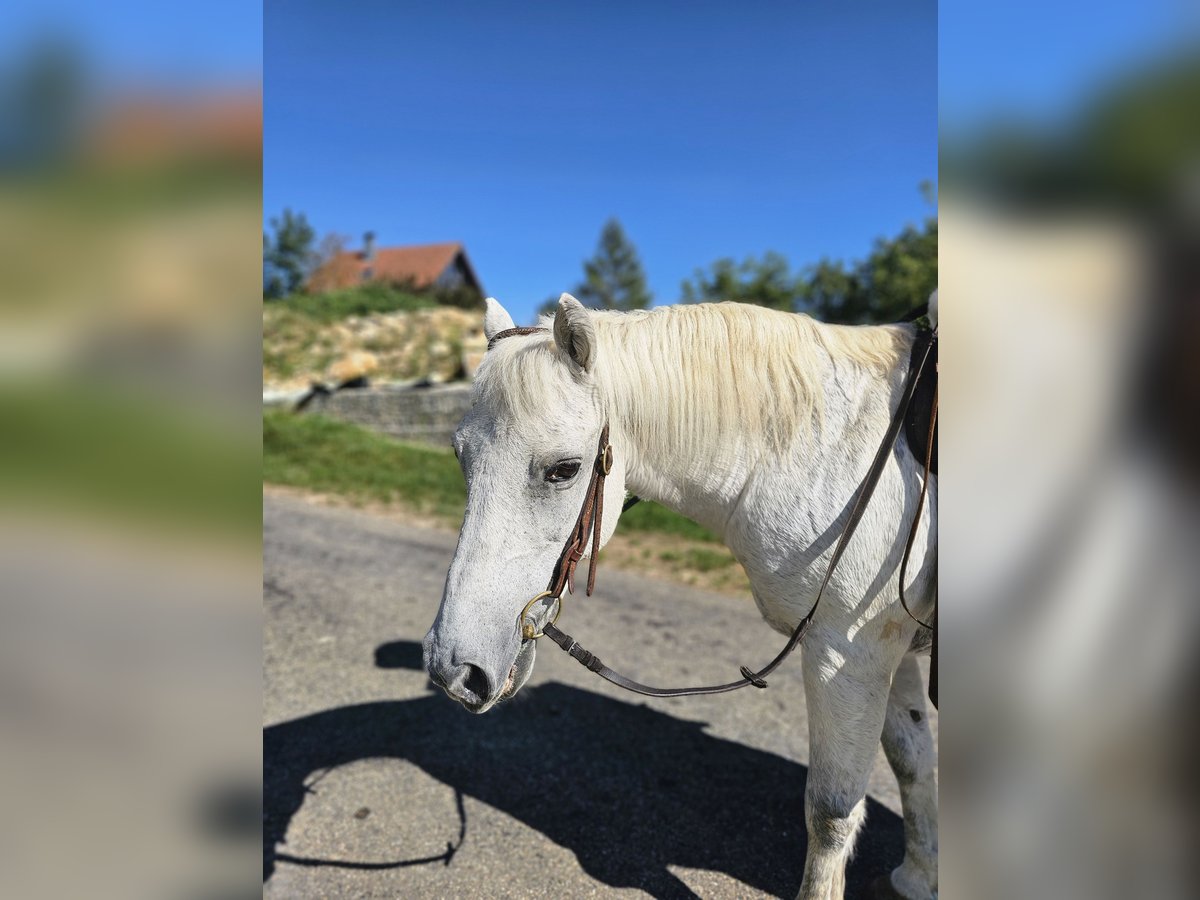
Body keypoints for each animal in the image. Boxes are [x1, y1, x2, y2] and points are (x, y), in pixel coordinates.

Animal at [422, 296, 936, 900]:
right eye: (461, 458)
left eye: (564, 470)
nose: (453, 668)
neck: (827, 453)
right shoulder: (888, 651)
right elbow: (912, 762)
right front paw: (918, 878)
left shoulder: (847, 654)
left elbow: (831, 811)